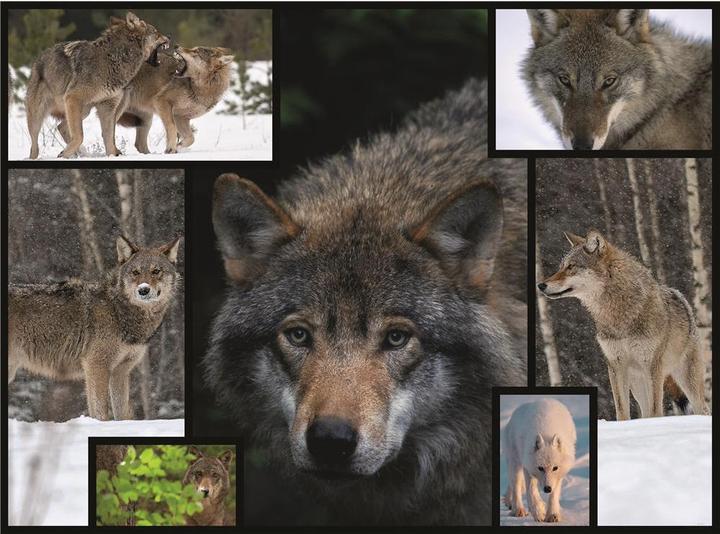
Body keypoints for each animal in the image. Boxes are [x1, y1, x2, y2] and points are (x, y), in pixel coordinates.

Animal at [8, 235, 181, 420]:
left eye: (156, 271)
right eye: (135, 272)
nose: (143, 290)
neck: (118, 310)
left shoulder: (121, 371)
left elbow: (122, 414)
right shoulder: (96, 366)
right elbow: (100, 412)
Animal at [25, 12, 171, 159]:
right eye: (155, 32)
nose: (169, 37)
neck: (114, 59)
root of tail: (39, 58)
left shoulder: (107, 107)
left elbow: (109, 138)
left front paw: (111, 155)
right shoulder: (73, 98)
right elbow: (80, 136)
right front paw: (64, 153)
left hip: (84, 110)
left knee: (61, 127)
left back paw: (80, 154)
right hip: (40, 116)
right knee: (34, 146)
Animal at [537, 230, 709, 420]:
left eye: (571, 266)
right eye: (561, 267)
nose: (541, 285)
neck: (617, 315)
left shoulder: (652, 365)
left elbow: (656, 411)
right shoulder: (615, 365)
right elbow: (622, 411)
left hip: (686, 381)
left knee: (701, 409)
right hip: (637, 384)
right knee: (645, 413)